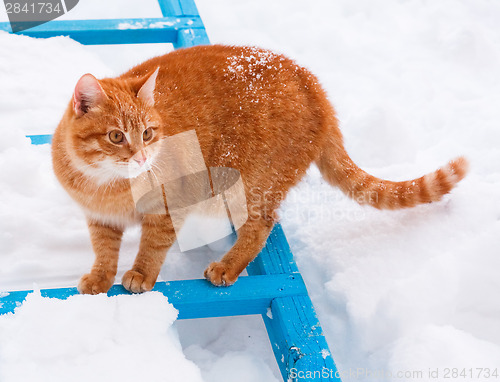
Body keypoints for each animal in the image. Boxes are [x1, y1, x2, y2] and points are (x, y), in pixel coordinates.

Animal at [51, 45, 468, 296]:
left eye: (148, 133)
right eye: (116, 136)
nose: (140, 157)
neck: (108, 186)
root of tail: (313, 86)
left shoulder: (171, 208)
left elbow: (153, 246)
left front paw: (140, 274)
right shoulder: (99, 218)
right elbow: (104, 250)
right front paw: (100, 278)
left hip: (251, 184)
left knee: (262, 225)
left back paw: (227, 266)